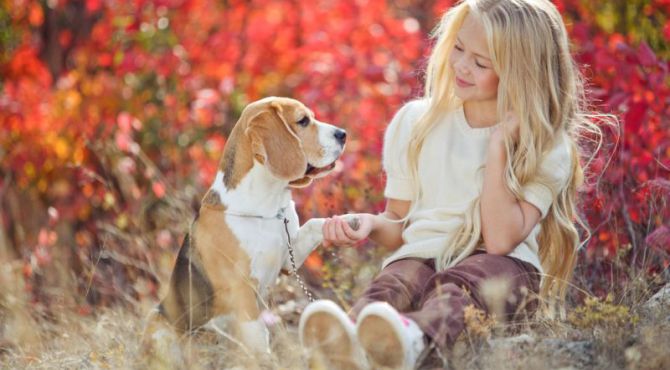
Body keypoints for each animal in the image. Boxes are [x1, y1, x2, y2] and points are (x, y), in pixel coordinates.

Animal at [144, 96, 350, 356]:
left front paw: (345, 222)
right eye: (303, 121)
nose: (343, 134)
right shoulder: (242, 289)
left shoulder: (287, 258)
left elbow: (315, 224)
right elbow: (258, 335)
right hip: (159, 323)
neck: (269, 209)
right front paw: (266, 359)